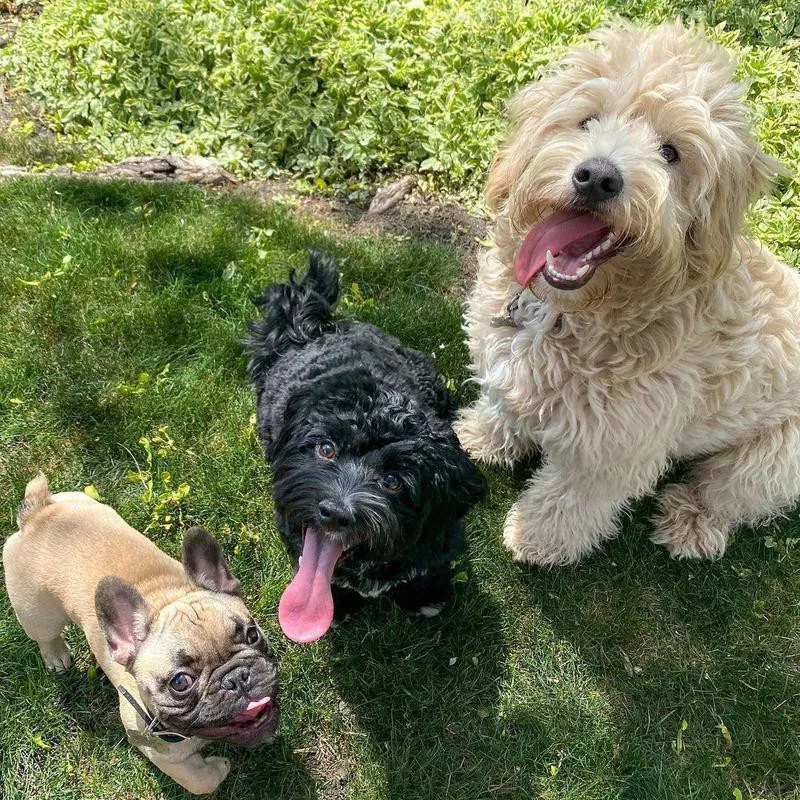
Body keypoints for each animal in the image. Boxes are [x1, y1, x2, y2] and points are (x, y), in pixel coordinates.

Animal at [247, 253, 484, 640]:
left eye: (393, 481)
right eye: (326, 449)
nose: (335, 512)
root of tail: (310, 331)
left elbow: (429, 570)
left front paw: (425, 596)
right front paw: (341, 606)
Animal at [456, 21, 800, 564]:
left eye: (671, 153)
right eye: (587, 120)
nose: (597, 177)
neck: (568, 313)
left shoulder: (609, 449)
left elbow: (570, 498)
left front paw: (537, 539)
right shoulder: (505, 361)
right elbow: (504, 403)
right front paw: (484, 436)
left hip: (773, 458)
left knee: (729, 491)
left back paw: (691, 522)